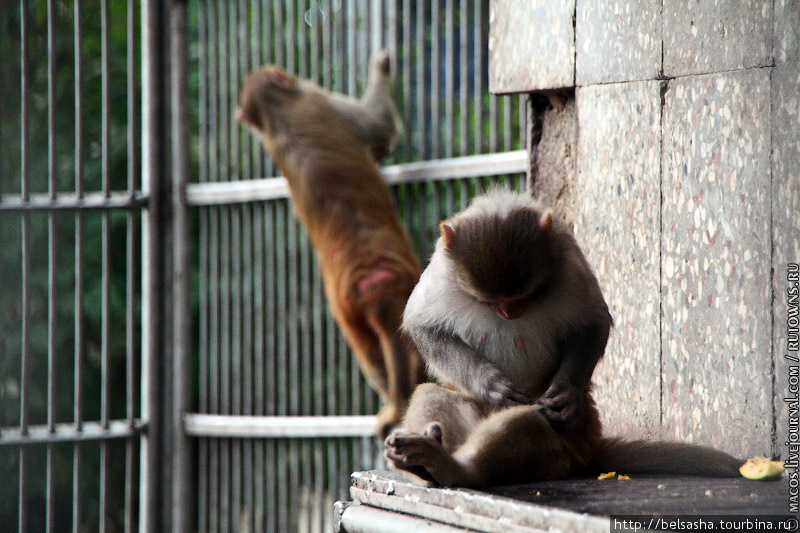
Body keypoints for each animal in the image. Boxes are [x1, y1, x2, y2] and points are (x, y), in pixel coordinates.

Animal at [238, 50, 424, 436]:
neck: (278, 116)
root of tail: (373, 284)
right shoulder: (324, 101)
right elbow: (377, 123)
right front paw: (381, 65)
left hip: (349, 314)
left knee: (371, 356)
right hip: (404, 286)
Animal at [390, 190, 744, 486]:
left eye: (524, 295)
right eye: (489, 301)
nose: (508, 312)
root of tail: (590, 448)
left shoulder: (571, 262)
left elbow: (592, 323)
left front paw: (567, 392)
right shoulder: (441, 271)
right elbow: (423, 326)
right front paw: (487, 381)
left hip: (563, 451)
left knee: (533, 421)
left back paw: (457, 469)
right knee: (434, 394)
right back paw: (430, 464)